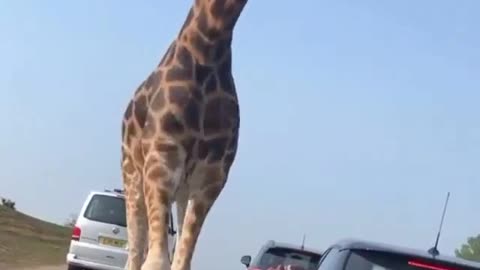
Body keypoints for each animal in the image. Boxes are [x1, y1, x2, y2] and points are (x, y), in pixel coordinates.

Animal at [120, 0, 249, 270]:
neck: (209, 47)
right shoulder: (161, 158)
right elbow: (156, 261)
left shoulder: (212, 176)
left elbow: (182, 260)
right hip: (132, 176)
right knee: (134, 254)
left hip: (182, 190)